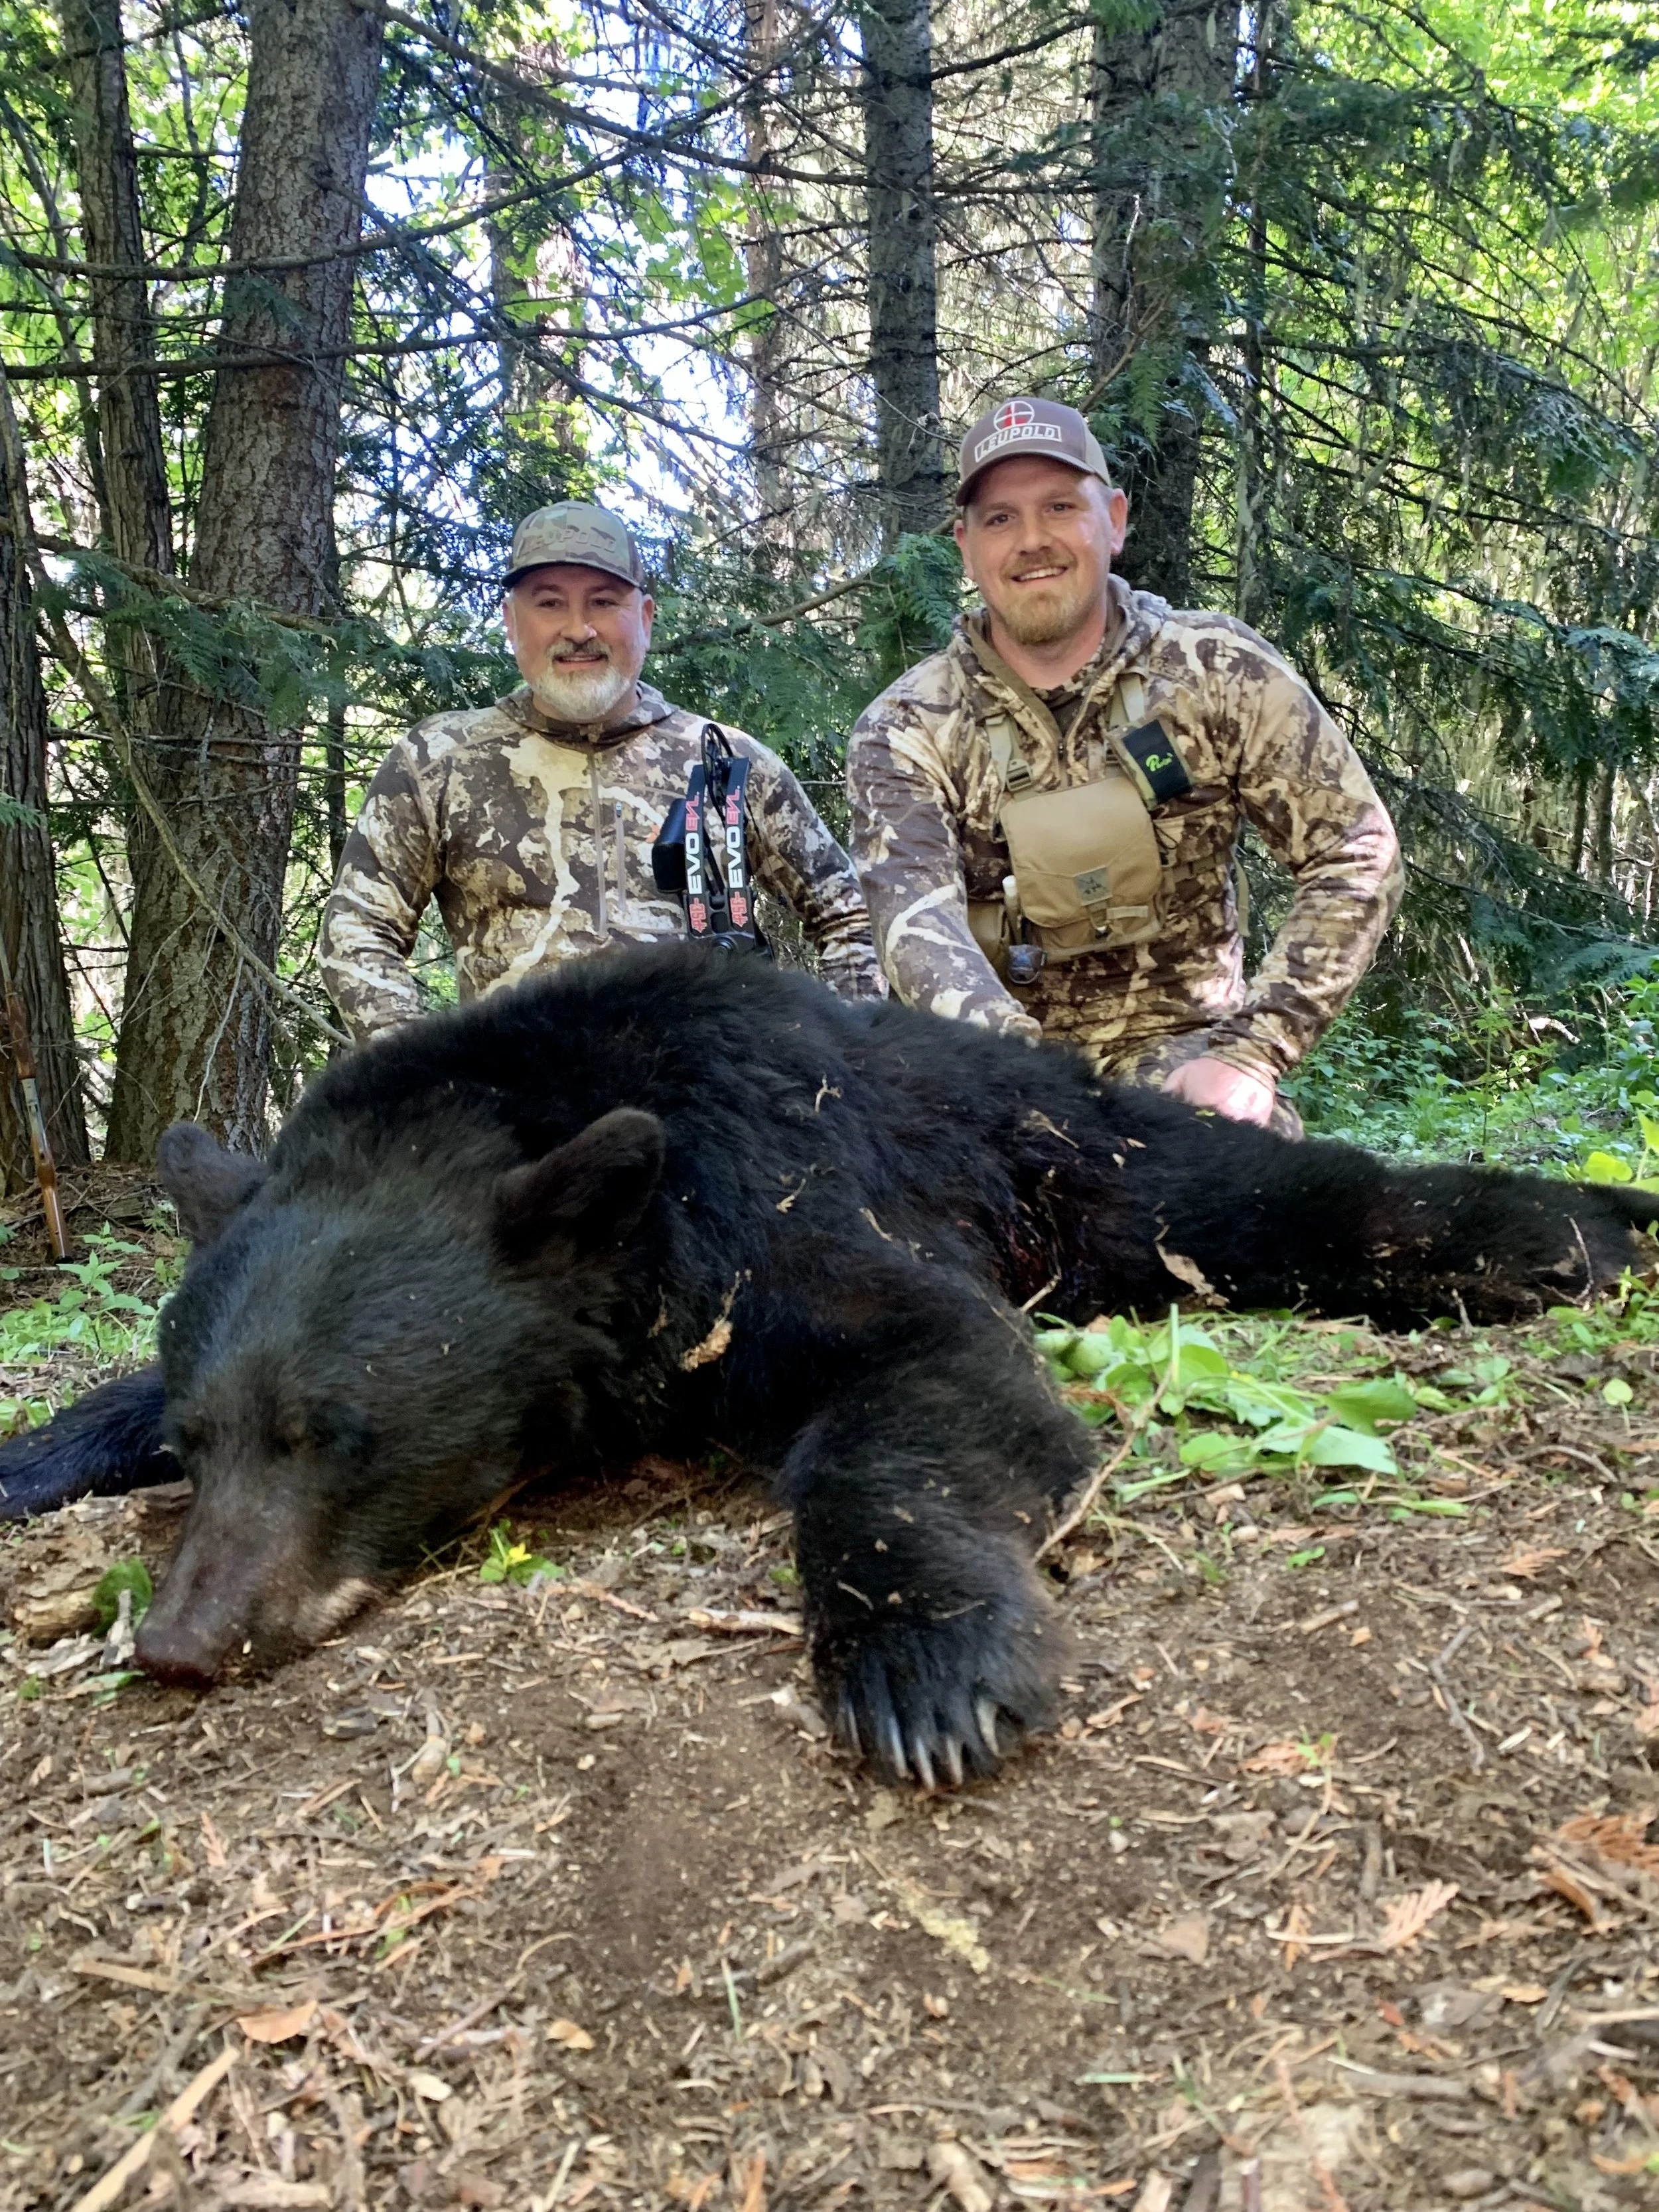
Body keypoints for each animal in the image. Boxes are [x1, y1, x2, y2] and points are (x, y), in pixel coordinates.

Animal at [2, 946, 1654, 1788]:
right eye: (208, 1437)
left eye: (335, 1432)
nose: (182, 1640)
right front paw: (38, 1449)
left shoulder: (771, 1201)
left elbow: (924, 1373)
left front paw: (921, 1666)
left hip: (1087, 1173)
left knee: (1290, 1198)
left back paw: (1569, 1232)